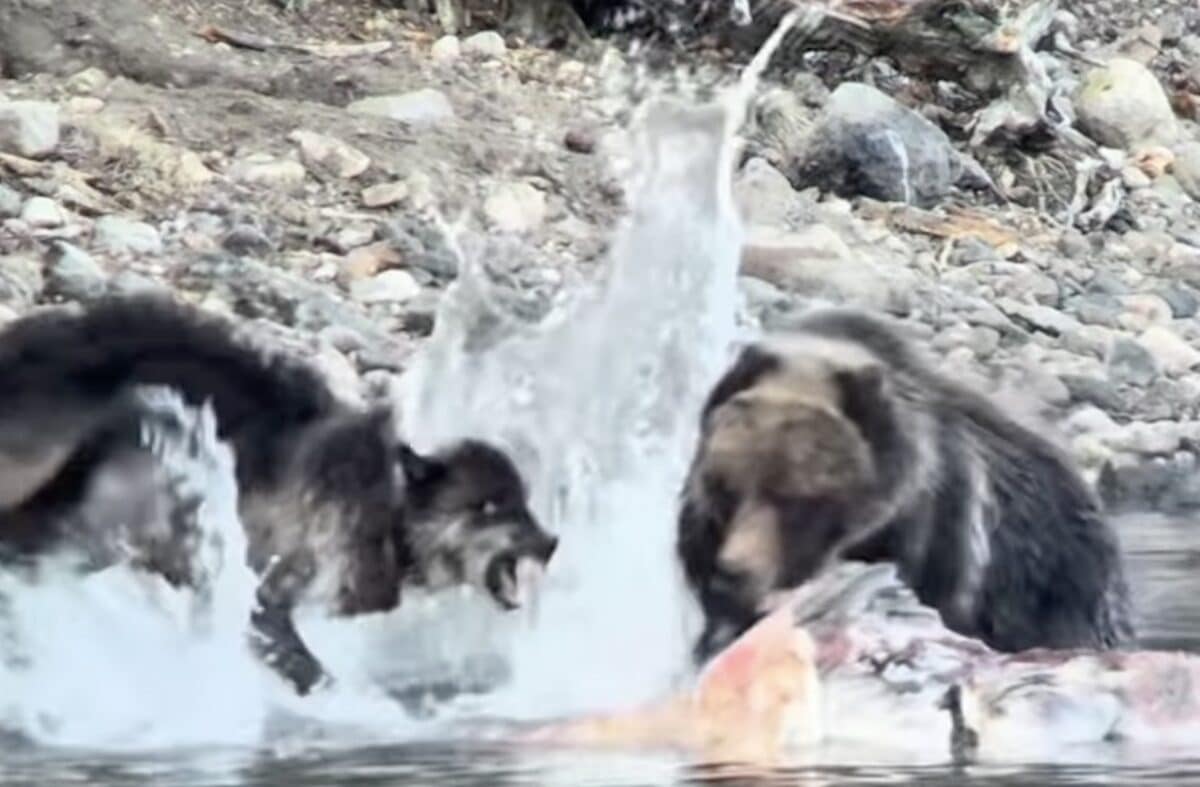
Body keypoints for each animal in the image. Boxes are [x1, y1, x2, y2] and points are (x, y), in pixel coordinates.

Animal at [0, 294, 558, 695]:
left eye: (524, 500)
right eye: (488, 506)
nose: (551, 543)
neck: (386, 505)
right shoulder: (275, 588)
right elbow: (307, 666)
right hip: (106, 525)